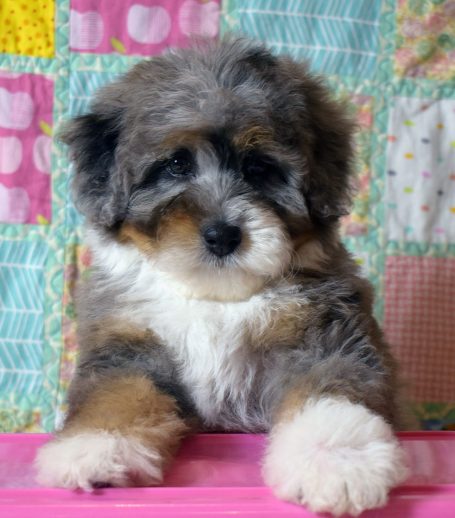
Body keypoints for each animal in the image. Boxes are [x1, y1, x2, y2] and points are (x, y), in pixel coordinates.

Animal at [36, 37, 408, 516]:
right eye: (176, 165)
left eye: (259, 168)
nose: (223, 235)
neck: (215, 299)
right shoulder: (127, 347)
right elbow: (116, 395)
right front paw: (95, 447)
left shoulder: (326, 335)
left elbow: (330, 392)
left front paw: (337, 461)